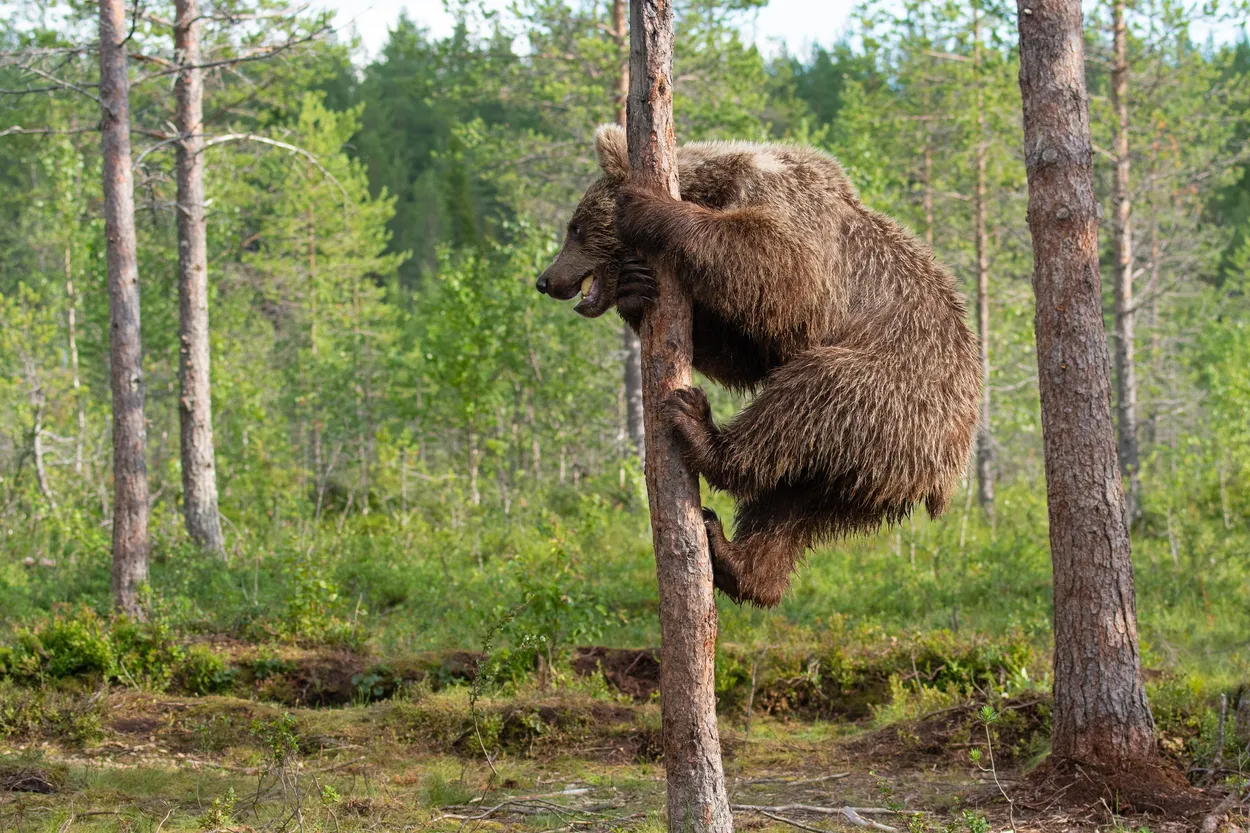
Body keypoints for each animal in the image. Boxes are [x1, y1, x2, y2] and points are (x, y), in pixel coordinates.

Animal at [536, 123, 982, 607]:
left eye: (575, 227)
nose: (545, 280)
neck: (719, 187)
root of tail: (945, 471)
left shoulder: (795, 219)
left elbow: (775, 266)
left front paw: (647, 205)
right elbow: (747, 347)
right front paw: (635, 290)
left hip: (895, 396)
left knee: (809, 393)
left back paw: (699, 427)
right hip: (868, 460)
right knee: (795, 504)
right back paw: (739, 563)